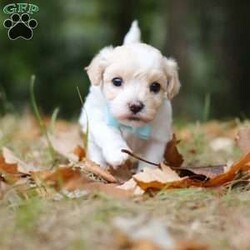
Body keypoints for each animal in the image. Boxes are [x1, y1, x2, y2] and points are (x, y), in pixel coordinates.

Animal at [79, 21, 181, 170]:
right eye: (117, 81)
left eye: (155, 86)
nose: (135, 106)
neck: (132, 127)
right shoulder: (99, 119)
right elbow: (110, 133)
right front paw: (118, 153)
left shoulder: (157, 138)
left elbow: (150, 159)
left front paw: (147, 173)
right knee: (95, 148)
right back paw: (99, 166)